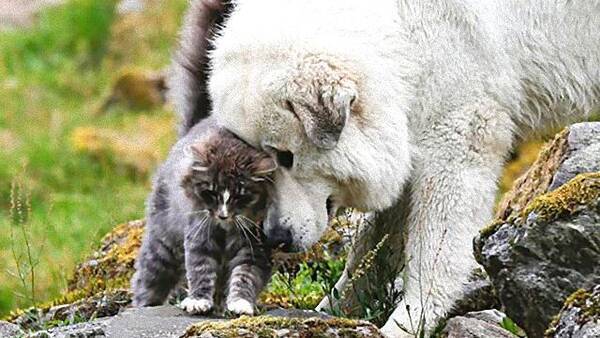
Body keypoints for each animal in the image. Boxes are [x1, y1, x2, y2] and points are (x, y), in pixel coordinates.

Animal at [132, 117, 276, 316]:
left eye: (240, 196)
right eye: (212, 192)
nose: (223, 215)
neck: (225, 228)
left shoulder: (254, 246)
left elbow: (245, 275)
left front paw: (240, 303)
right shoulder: (200, 235)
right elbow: (201, 269)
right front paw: (198, 301)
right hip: (162, 248)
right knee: (147, 282)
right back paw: (144, 306)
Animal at [170, 1, 600, 336]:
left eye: (286, 156)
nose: (276, 237)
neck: (399, 31)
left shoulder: (459, 134)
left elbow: (433, 250)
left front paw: (407, 323)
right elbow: (372, 246)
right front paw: (335, 309)